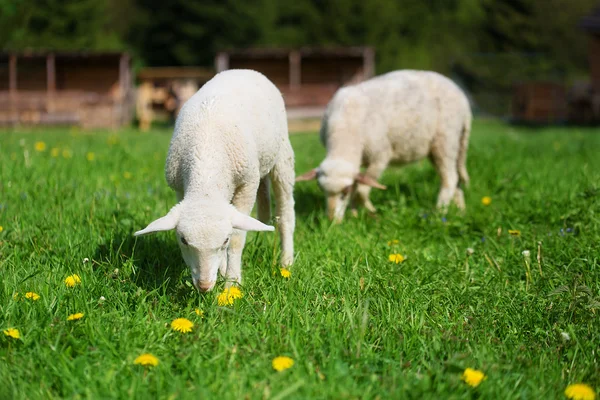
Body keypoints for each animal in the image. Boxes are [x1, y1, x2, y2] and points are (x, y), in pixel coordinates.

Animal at [135, 69, 296, 290]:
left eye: (225, 240)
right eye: (183, 240)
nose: (204, 286)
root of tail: (244, 70)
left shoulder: (247, 185)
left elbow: (238, 238)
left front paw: (232, 283)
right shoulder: (179, 188)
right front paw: (223, 271)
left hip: (282, 156)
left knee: (285, 212)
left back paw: (286, 261)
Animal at [298, 70, 472, 223]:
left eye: (344, 192)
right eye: (321, 189)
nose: (331, 221)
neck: (345, 131)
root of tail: (463, 100)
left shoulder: (380, 156)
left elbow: (361, 190)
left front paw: (372, 213)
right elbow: (358, 185)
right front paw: (354, 214)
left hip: (446, 140)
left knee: (450, 178)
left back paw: (439, 212)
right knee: (456, 179)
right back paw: (461, 211)